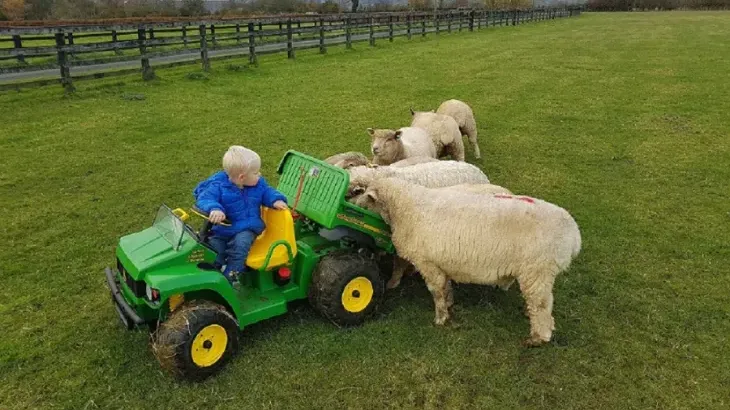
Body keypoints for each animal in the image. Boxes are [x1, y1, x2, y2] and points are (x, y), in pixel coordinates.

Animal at [356, 179, 576, 346]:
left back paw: (538, 337)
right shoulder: (441, 263)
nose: (356, 209)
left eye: (365, 199)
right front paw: (449, 303)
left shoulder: (428, 263)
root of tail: (573, 235)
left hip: (537, 270)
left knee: (541, 305)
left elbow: (436, 292)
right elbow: (445, 287)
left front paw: (441, 318)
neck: (407, 208)